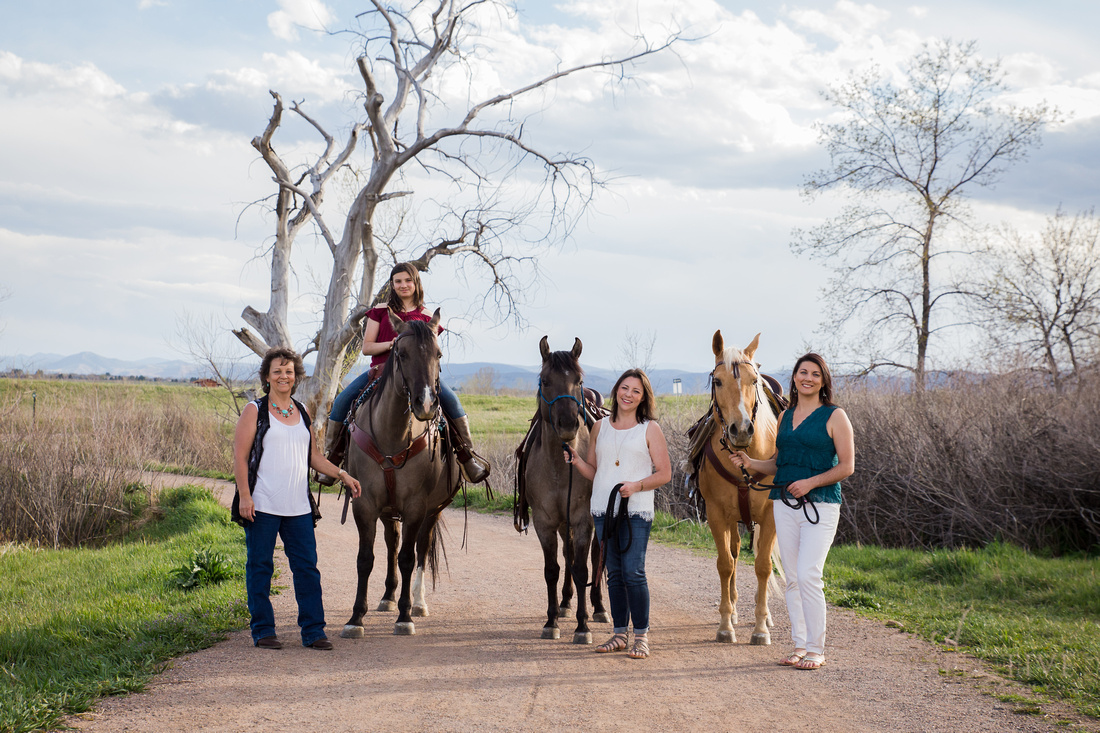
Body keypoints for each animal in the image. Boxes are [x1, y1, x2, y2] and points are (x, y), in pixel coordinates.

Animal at [336, 308, 457, 633]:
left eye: (439, 354)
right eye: (401, 354)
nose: (426, 404)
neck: (392, 434)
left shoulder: (416, 506)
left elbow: (407, 559)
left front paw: (405, 616)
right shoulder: (364, 503)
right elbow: (366, 558)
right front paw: (356, 618)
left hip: (432, 510)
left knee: (420, 551)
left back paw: (417, 603)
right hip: (388, 509)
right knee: (392, 543)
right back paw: (388, 597)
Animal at [514, 334, 611, 638]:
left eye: (578, 380)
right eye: (545, 380)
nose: (568, 423)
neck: (561, 464)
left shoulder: (582, 520)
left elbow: (582, 569)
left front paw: (583, 625)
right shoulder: (545, 522)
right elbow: (552, 569)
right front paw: (552, 620)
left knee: (595, 557)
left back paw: (599, 608)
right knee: (567, 557)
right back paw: (566, 602)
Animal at [695, 327, 783, 642]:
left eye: (753, 381)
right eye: (717, 381)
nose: (742, 430)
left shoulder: (771, 516)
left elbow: (763, 566)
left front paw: (760, 628)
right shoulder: (717, 514)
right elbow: (725, 564)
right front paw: (725, 624)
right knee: (733, 553)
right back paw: (732, 610)